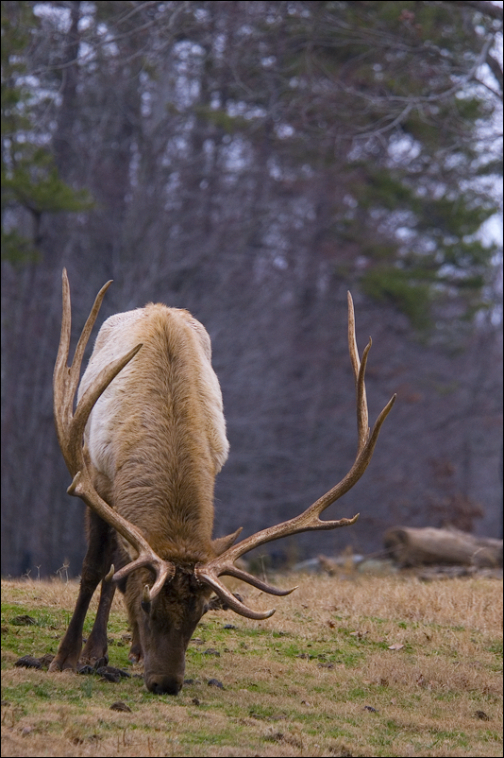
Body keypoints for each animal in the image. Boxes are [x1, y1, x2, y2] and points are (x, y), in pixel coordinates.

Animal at [49, 270, 396, 696]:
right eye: (148, 604)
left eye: (200, 613)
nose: (166, 683)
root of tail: (157, 306)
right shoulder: (94, 474)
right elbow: (94, 568)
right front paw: (68, 657)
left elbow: (119, 569)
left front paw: (122, 650)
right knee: (111, 564)